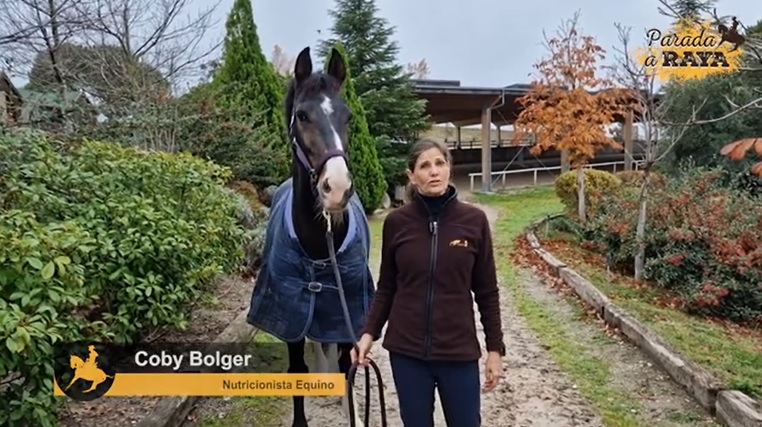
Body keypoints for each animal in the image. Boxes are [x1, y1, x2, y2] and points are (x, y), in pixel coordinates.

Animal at [246, 46, 376, 427]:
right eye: (302, 115)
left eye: (348, 117)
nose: (338, 188)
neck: (321, 242)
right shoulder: (293, 313)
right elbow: (297, 370)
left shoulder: (346, 312)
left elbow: (348, 364)